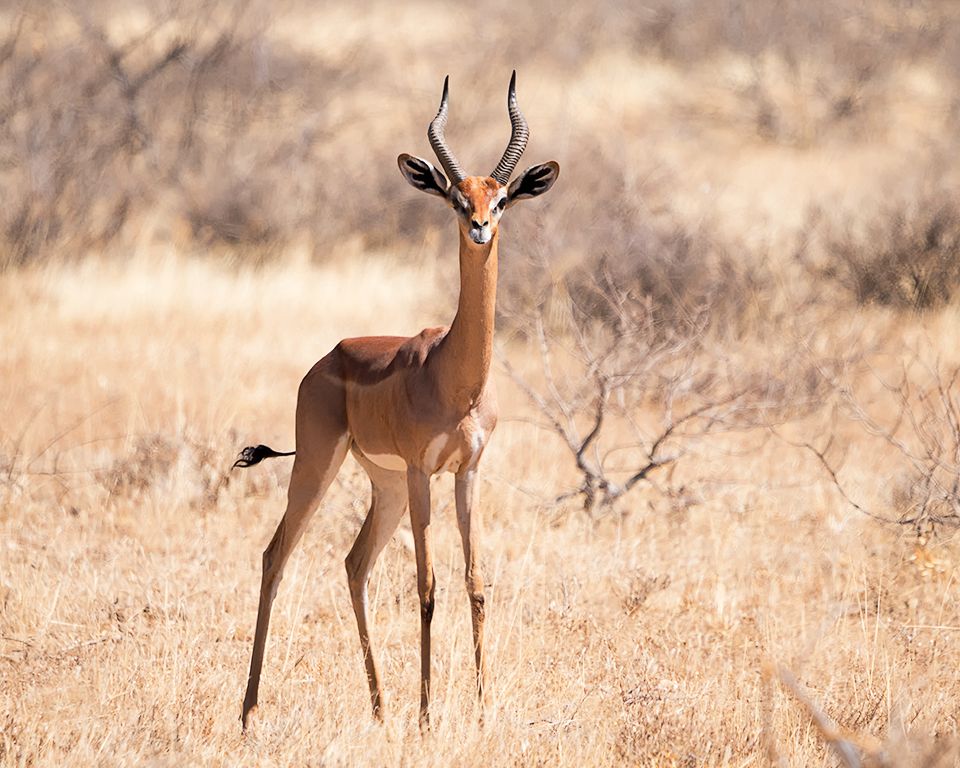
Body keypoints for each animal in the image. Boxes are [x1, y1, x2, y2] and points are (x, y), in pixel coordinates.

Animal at [235, 72, 559, 730]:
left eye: (501, 198)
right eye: (455, 198)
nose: (480, 227)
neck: (455, 381)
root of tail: (330, 357)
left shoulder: (467, 472)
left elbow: (475, 584)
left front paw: (483, 709)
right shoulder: (420, 471)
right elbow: (428, 587)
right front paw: (429, 714)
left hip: (380, 483)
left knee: (354, 564)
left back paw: (380, 706)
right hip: (321, 466)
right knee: (275, 556)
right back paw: (250, 710)